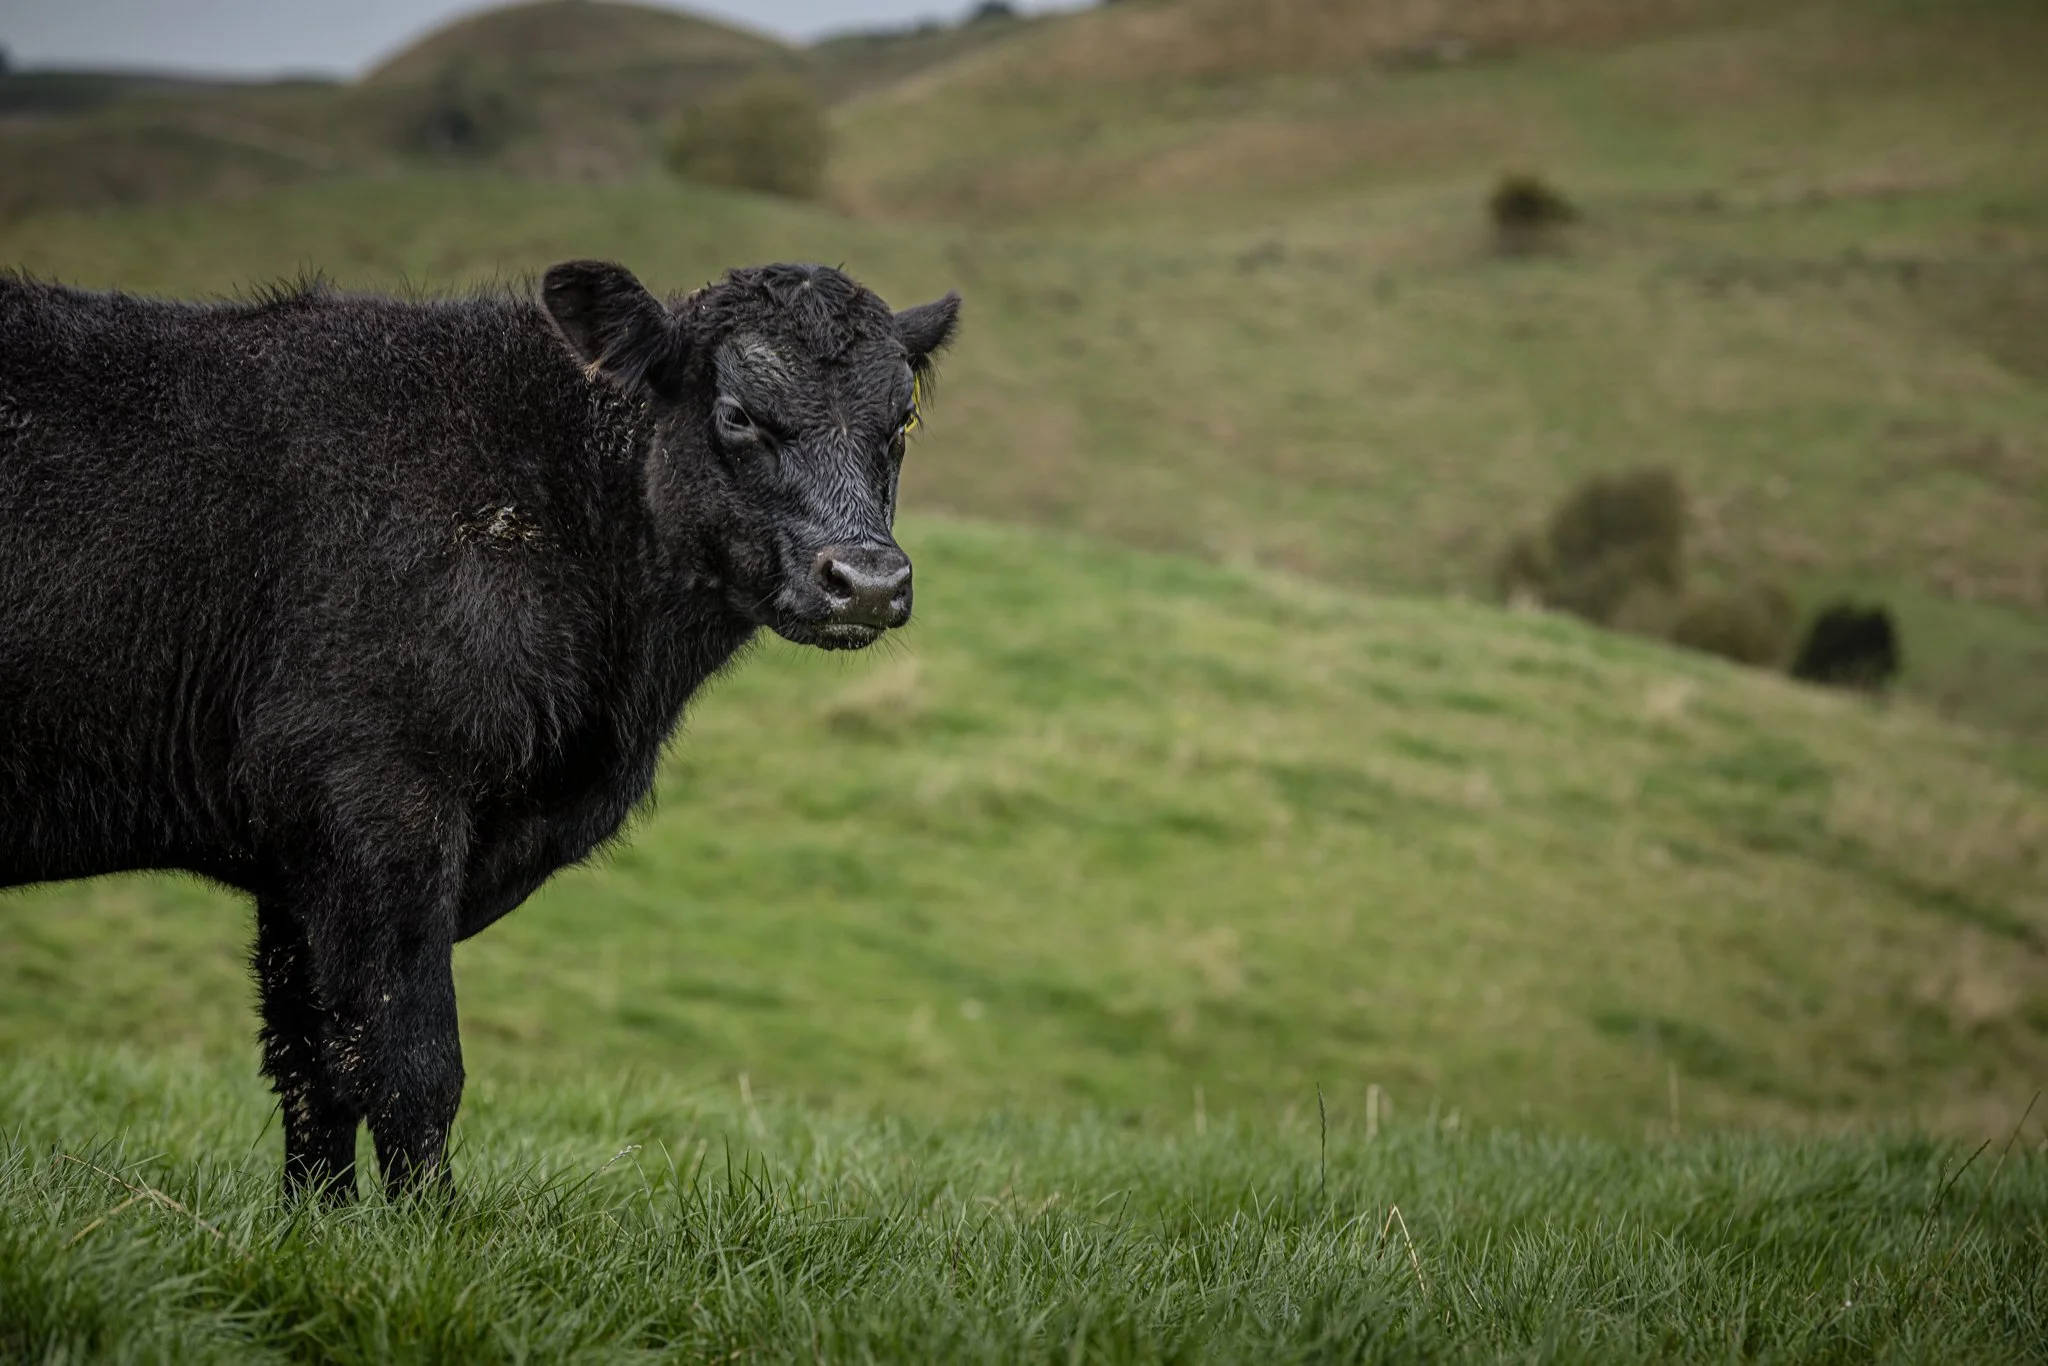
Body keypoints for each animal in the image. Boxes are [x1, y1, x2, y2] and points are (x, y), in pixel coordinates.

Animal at [0, 260, 960, 1199]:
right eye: (736, 413)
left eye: (903, 418)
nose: (868, 581)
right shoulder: (380, 801)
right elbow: (412, 1063)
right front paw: (426, 1228)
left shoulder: (298, 860)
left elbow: (314, 1062)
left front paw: (318, 1223)